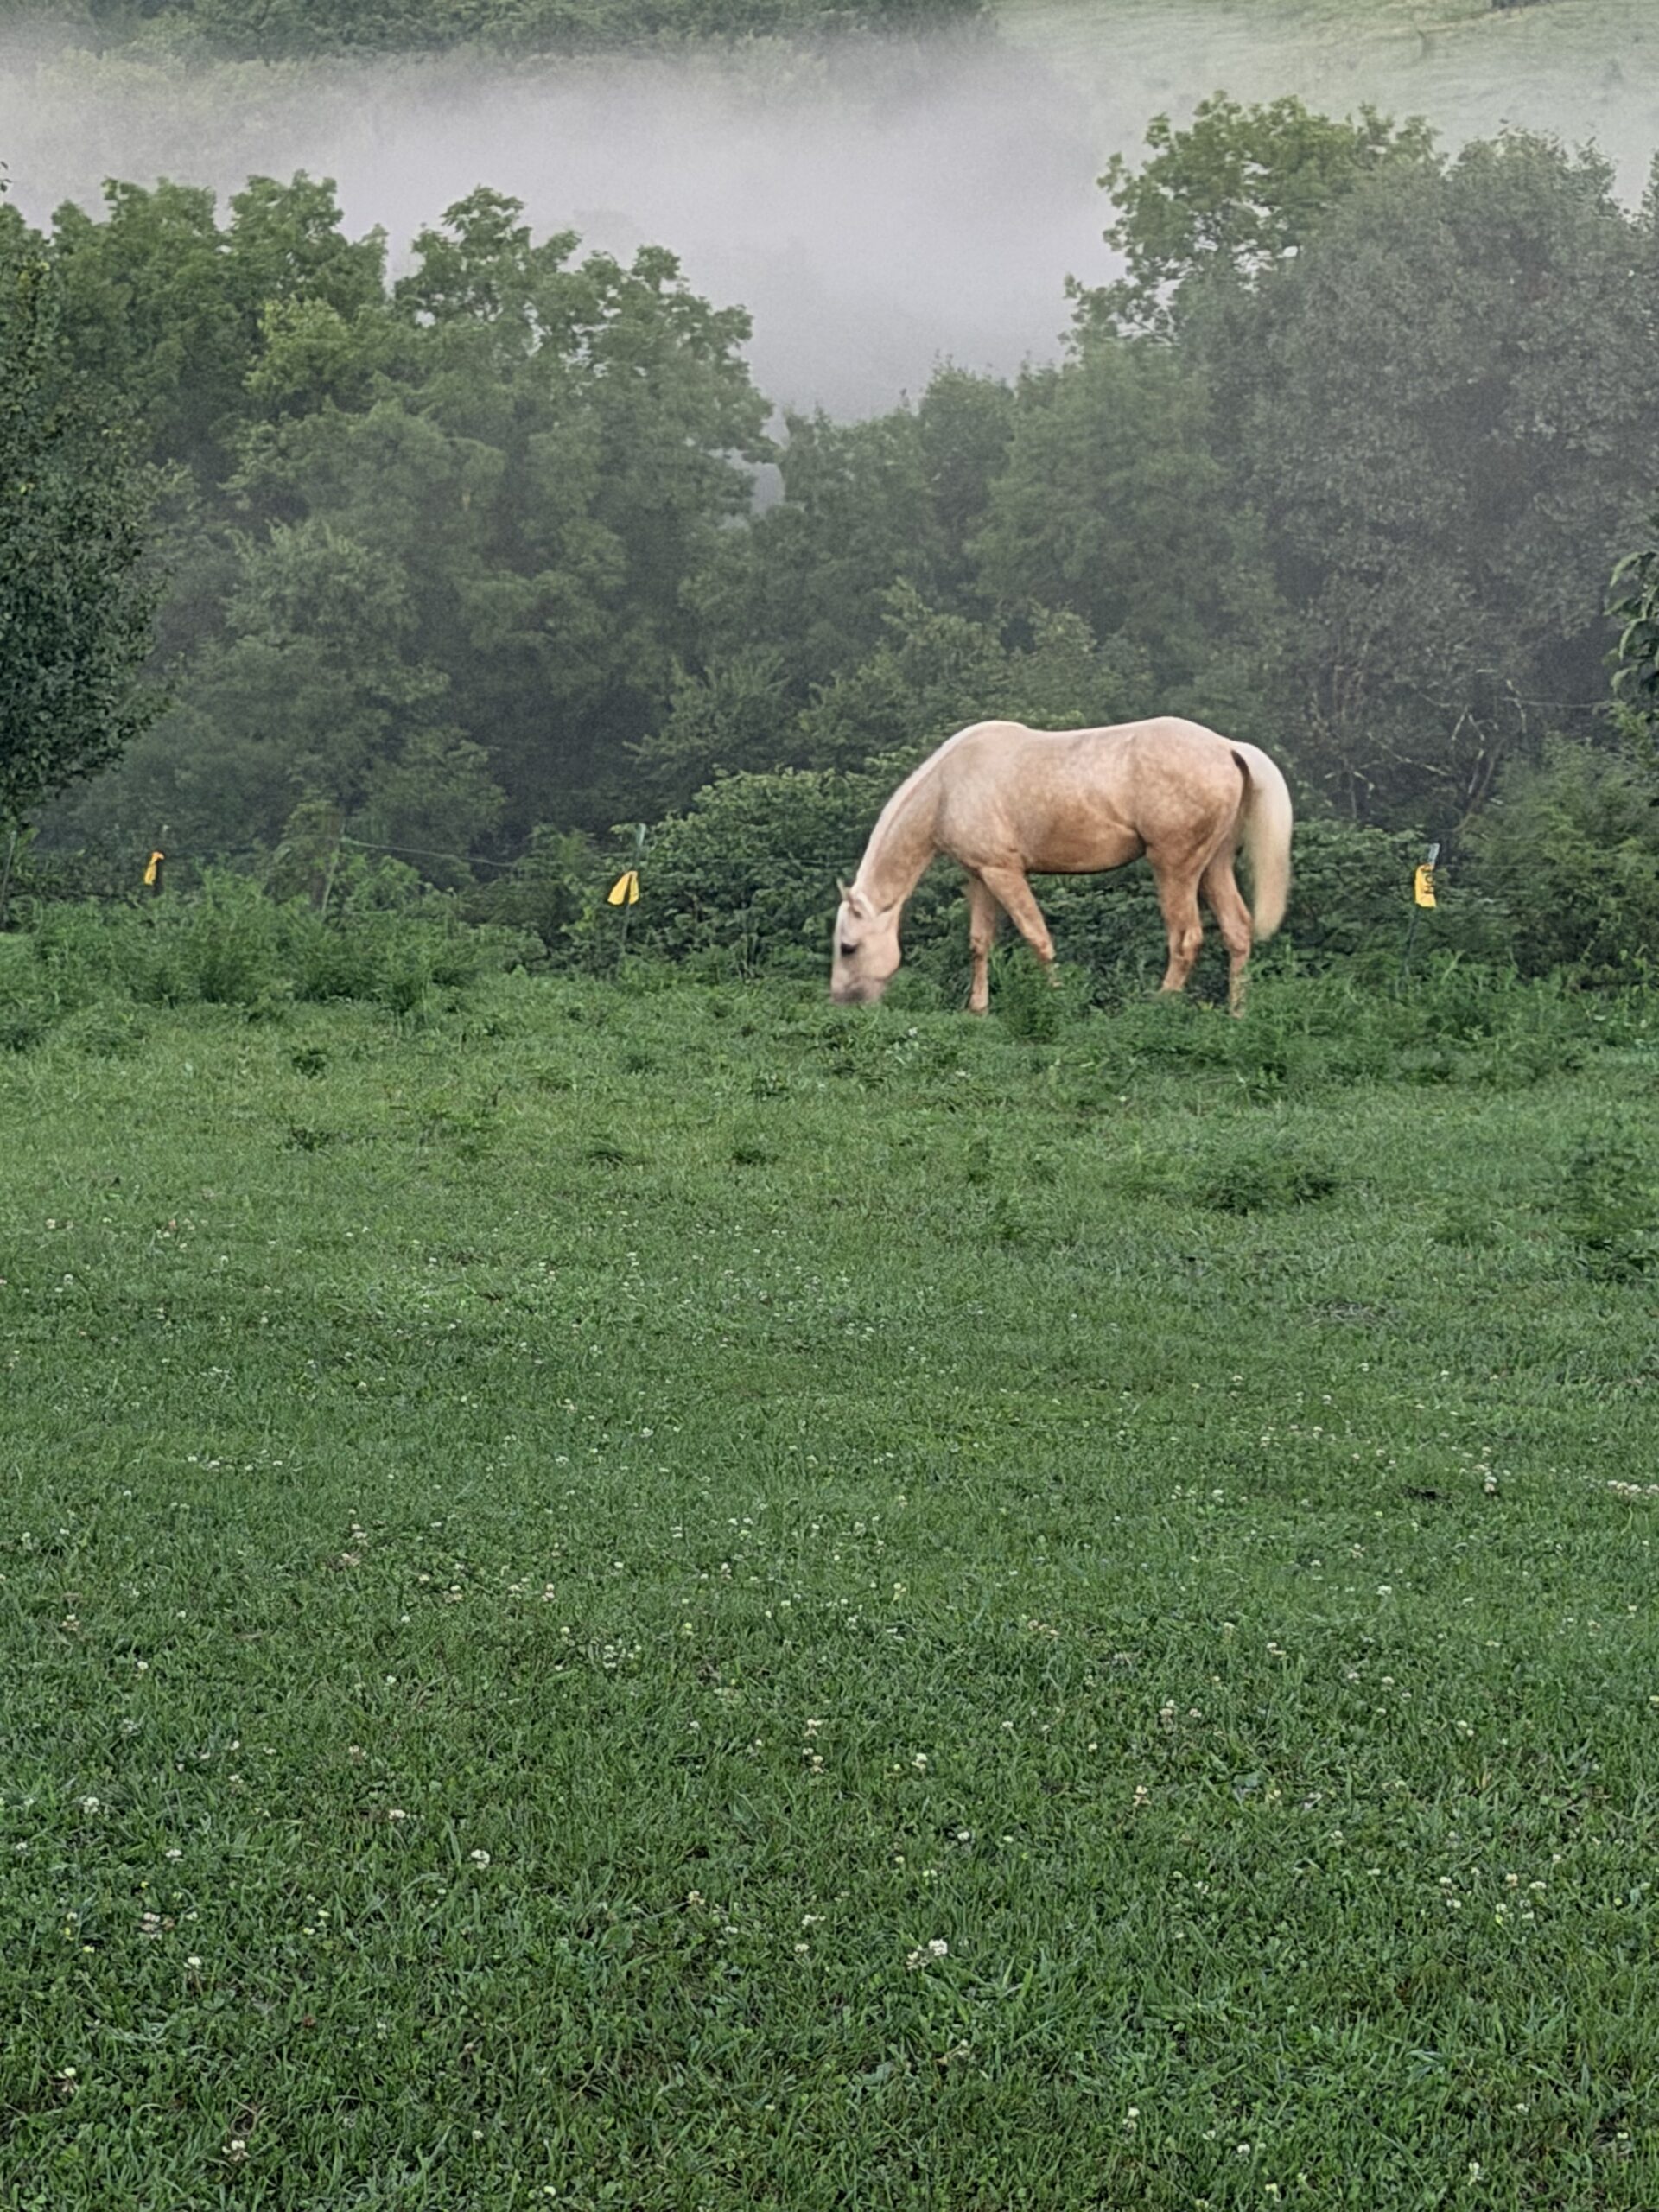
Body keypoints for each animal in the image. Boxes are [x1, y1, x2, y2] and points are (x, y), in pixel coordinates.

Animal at [829, 716, 1293, 1014]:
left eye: (848, 947)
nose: (842, 1003)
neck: (948, 787)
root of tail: (1228, 747)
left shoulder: (1004, 873)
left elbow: (1037, 937)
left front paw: (1055, 1001)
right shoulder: (979, 875)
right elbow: (979, 943)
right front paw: (977, 1010)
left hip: (1175, 867)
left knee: (1186, 939)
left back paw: (1159, 1008)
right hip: (1214, 865)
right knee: (1237, 930)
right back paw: (1236, 1013)